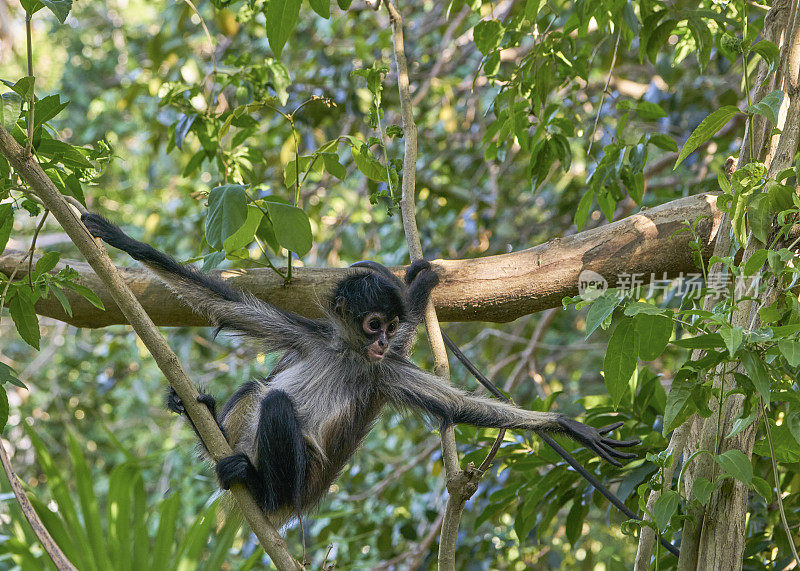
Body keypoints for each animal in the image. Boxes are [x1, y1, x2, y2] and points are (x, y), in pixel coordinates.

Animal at [78, 212, 636, 524]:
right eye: (373, 324)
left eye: (388, 326)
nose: (385, 339)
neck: (348, 354)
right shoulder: (313, 336)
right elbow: (224, 304)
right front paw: (114, 236)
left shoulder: (382, 372)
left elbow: (460, 407)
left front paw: (568, 425)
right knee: (257, 388)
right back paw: (203, 420)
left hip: (300, 479)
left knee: (272, 401)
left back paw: (258, 489)